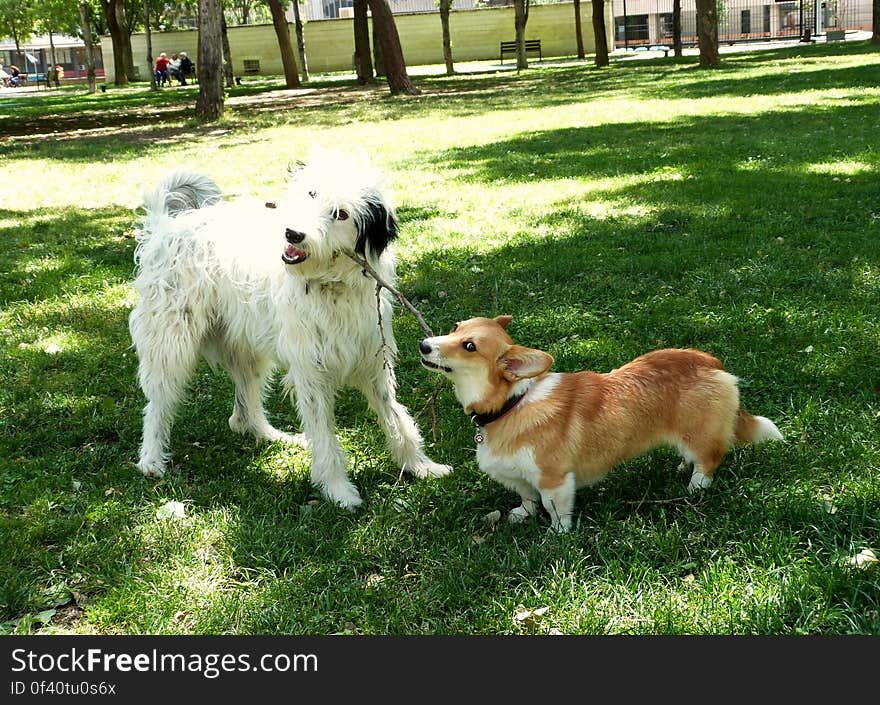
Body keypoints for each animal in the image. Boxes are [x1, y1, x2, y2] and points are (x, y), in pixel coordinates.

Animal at [129, 157, 454, 508]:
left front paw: (420, 465)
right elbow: (324, 434)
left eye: (341, 214)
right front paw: (338, 489)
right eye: (311, 194)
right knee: (158, 404)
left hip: (247, 348)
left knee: (244, 409)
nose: (293, 233)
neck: (331, 285)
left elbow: (395, 416)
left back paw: (270, 434)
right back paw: (151, 458)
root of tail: (167, 226)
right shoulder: (311, 372)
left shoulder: (373, 363)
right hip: (170, 343)